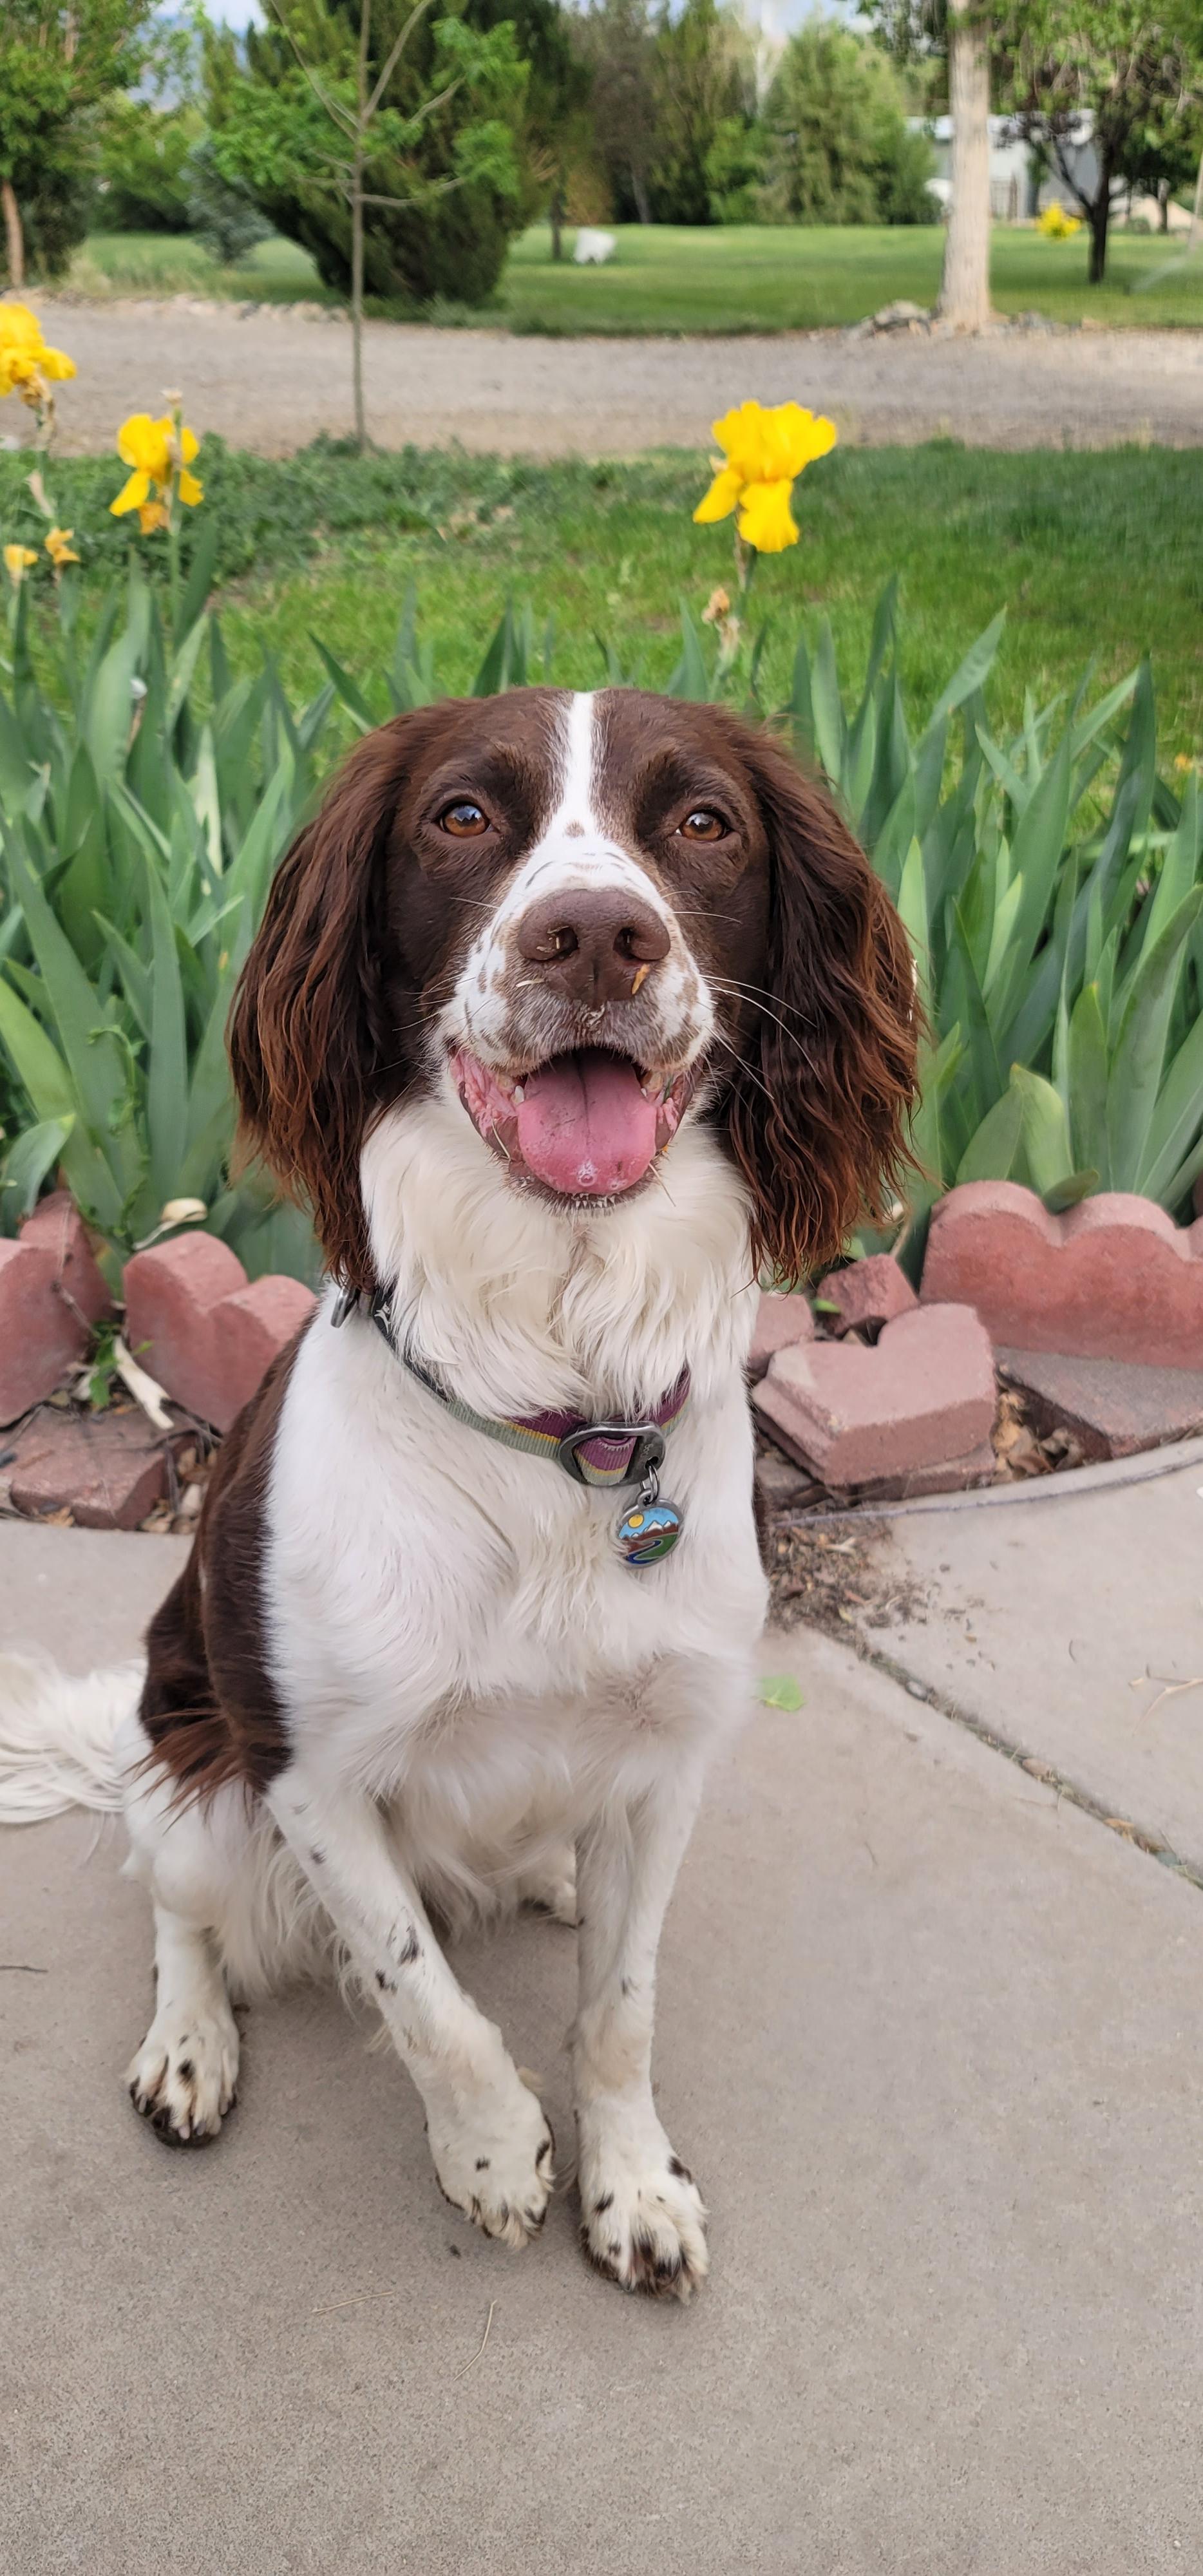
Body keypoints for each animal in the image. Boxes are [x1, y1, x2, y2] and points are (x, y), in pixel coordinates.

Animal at [0, 686, 915, 2300]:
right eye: (463, 816)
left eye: (703, 821)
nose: (596, 935)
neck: (562, 1416)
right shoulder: (307, 1766)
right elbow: (425, 1996)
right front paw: (493, 2158)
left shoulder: (670, 1759)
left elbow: (619, 2005)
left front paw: (632, 2183)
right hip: (195, 1765)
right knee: (174, 1897)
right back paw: (188, 2043)